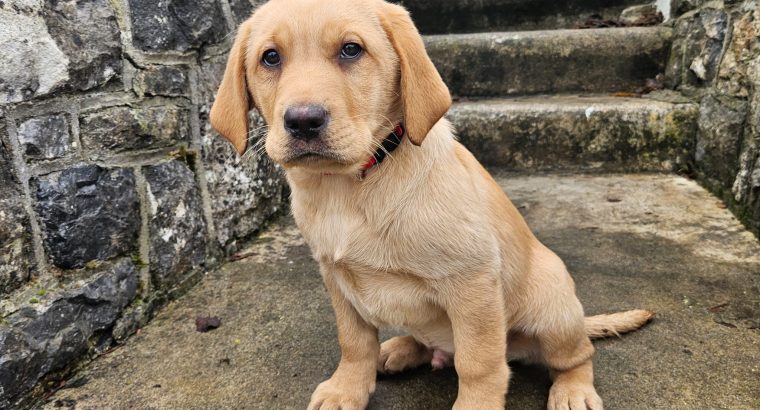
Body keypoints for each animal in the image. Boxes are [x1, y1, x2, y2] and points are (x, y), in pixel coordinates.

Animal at [209, 1, 652, 408]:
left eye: (351, 50)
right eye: (270, 57)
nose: (303, 121)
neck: (350, 186)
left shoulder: (472, 282)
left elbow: (479, 363)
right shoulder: (335, 277)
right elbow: (353, 342)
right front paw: (346, 389)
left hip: (553, 306)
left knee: (575, 356)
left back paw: (573, 390)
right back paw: (400, 349)